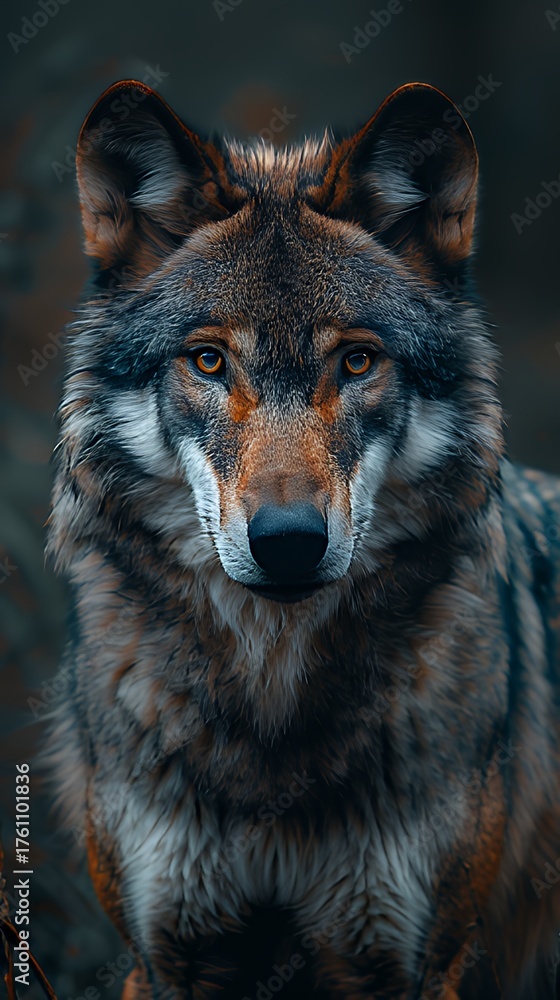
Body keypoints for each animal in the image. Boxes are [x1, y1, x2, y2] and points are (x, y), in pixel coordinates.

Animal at [47, 79, 560, 998]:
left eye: (356, 362)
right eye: (208, 361)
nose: (288, 540)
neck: (272, 701)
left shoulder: (417, 963)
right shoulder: (164, 957)